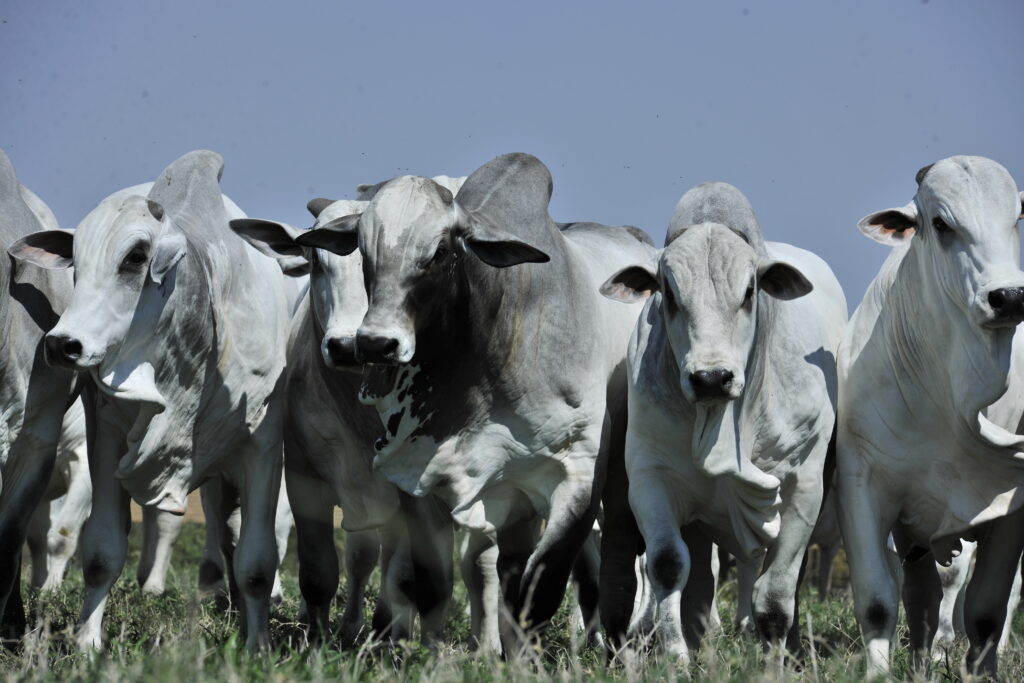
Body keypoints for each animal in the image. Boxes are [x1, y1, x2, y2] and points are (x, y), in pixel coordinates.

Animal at [9, 150, 292, 651]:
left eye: (136, 257)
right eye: (75, 261)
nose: (62, 344)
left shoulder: (262, 446)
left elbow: (258, 562)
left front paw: (258, 647)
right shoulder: (105, 444)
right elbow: (99, 551)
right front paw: (87, 643)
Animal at [598, 181, 843, 663]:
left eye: (749, 292)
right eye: (670, 295)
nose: (711, 377)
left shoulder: (804, 489)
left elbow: (776, 592)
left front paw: (773, 662)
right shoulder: (650, 476)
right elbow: (668, 565)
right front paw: (675, 655)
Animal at [835, 156, 1024, 679]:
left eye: (1017, 217)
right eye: (941, 224)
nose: (1009, 297)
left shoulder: (1006, 505)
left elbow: (985, 610)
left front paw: (981, 672)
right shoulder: (863, 484)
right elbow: (879, 600)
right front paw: (880, 673)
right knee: (920, 595)